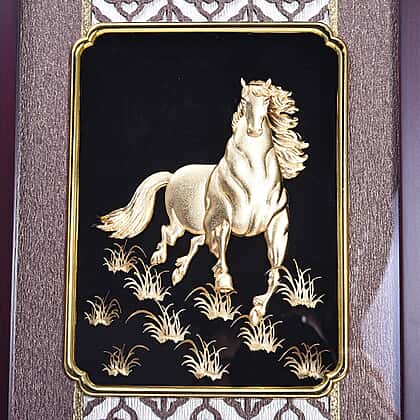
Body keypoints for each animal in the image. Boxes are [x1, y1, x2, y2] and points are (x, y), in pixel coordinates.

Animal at [97, 78, 308, 325]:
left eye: (266, 100)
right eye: (244, 100)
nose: (254, 131)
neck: (255, 181)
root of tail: (172, 175)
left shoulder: (277, 227)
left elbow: (275, 272)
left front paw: (257, 312)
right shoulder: (221, 220)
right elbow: (222, 254)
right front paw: (224, 283)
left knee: (194, 241)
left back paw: (178, 272)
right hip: (181, 222)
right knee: (169, 233)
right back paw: (159, 258)